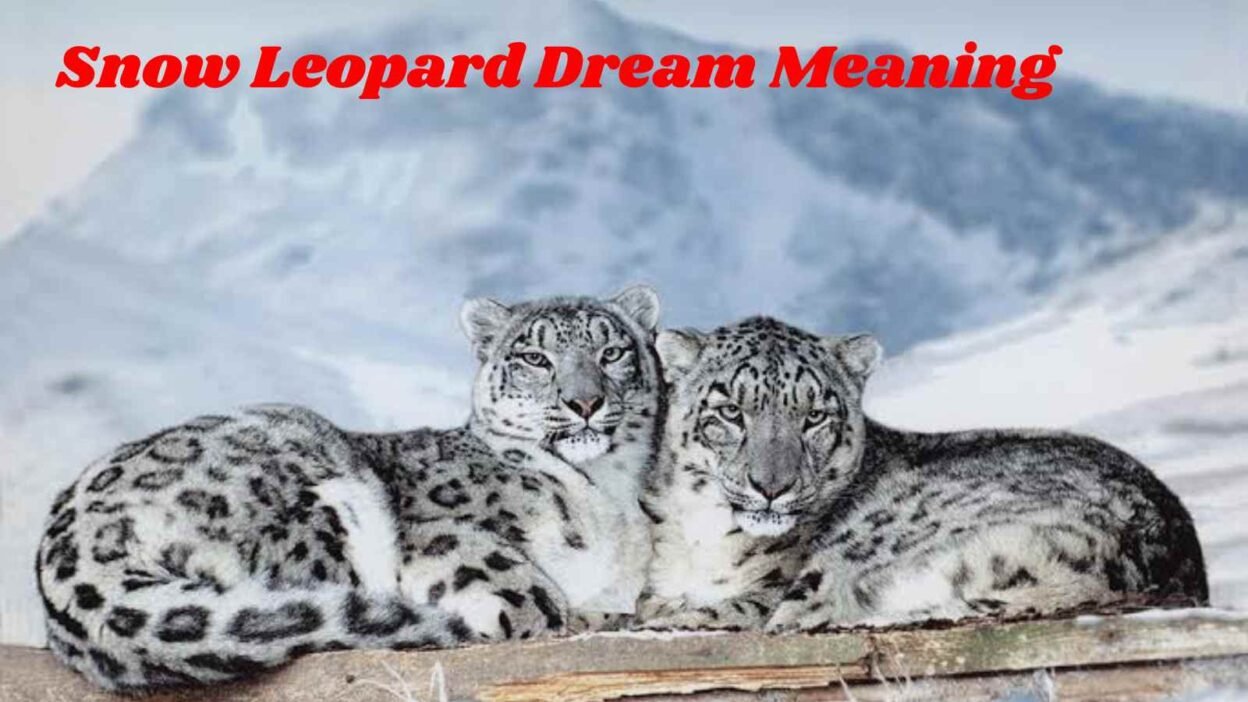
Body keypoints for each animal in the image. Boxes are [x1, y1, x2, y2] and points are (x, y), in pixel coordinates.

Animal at [35, 286, 662, 691]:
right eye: (534, 357)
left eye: (612, 351)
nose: (584, 401)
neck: (610, 492)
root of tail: (67, 550)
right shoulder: (436, 535)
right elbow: (531, 595)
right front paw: (580, 612)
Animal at [638, 316, 1207, 633]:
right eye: (731, 411)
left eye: (815, 415)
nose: (772, 487)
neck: (698, 535)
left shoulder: (768, 588)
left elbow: (727, 607)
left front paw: (669, 613)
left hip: (854, 552)